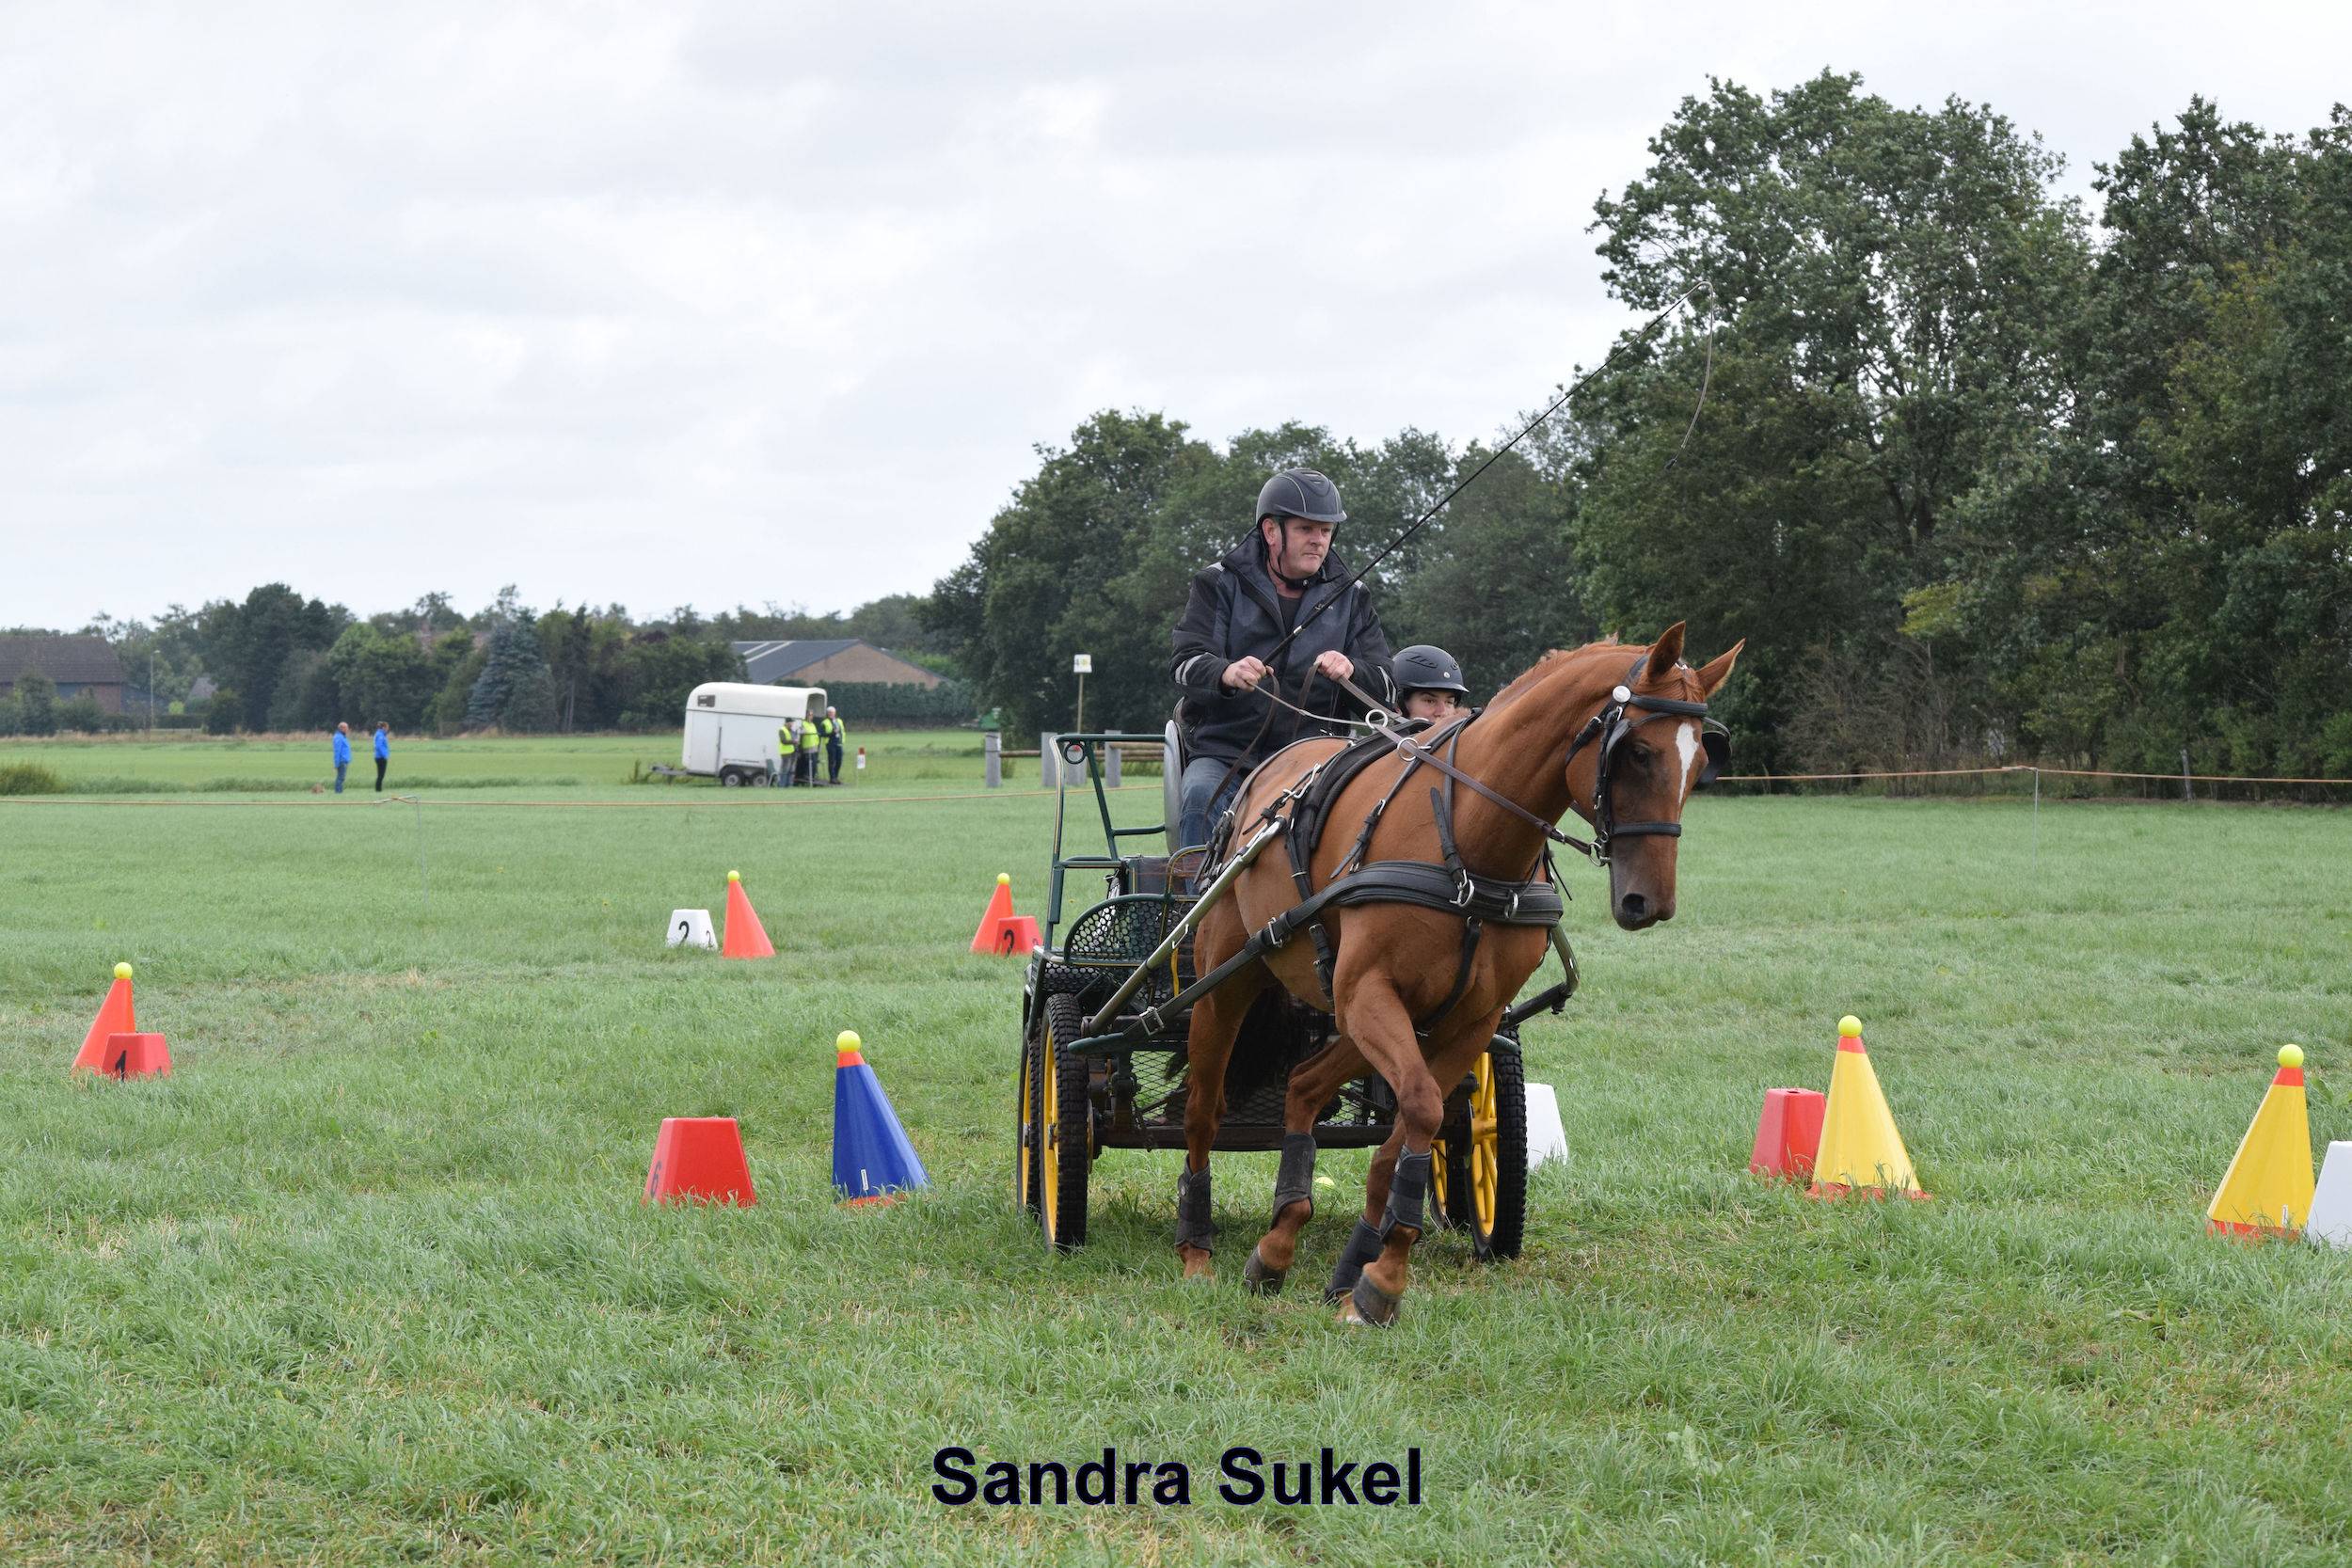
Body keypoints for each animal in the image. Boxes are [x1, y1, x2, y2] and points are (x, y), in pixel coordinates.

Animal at [1171, 622, 1742, 1325]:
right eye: (1636, 751)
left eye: (1699, 761)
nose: (1649, 903)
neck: (1468, 841)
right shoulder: (1369, 992)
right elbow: (1417, 1108)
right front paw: (1382, 1273)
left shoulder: (1469, 1020)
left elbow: (1407, 1135)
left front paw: (1370, 1273)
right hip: (1232, 985)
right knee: (1204, 1109)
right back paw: (1197, 1249)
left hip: (1366, 1018)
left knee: (1303, 1087)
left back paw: (1281, 1240)